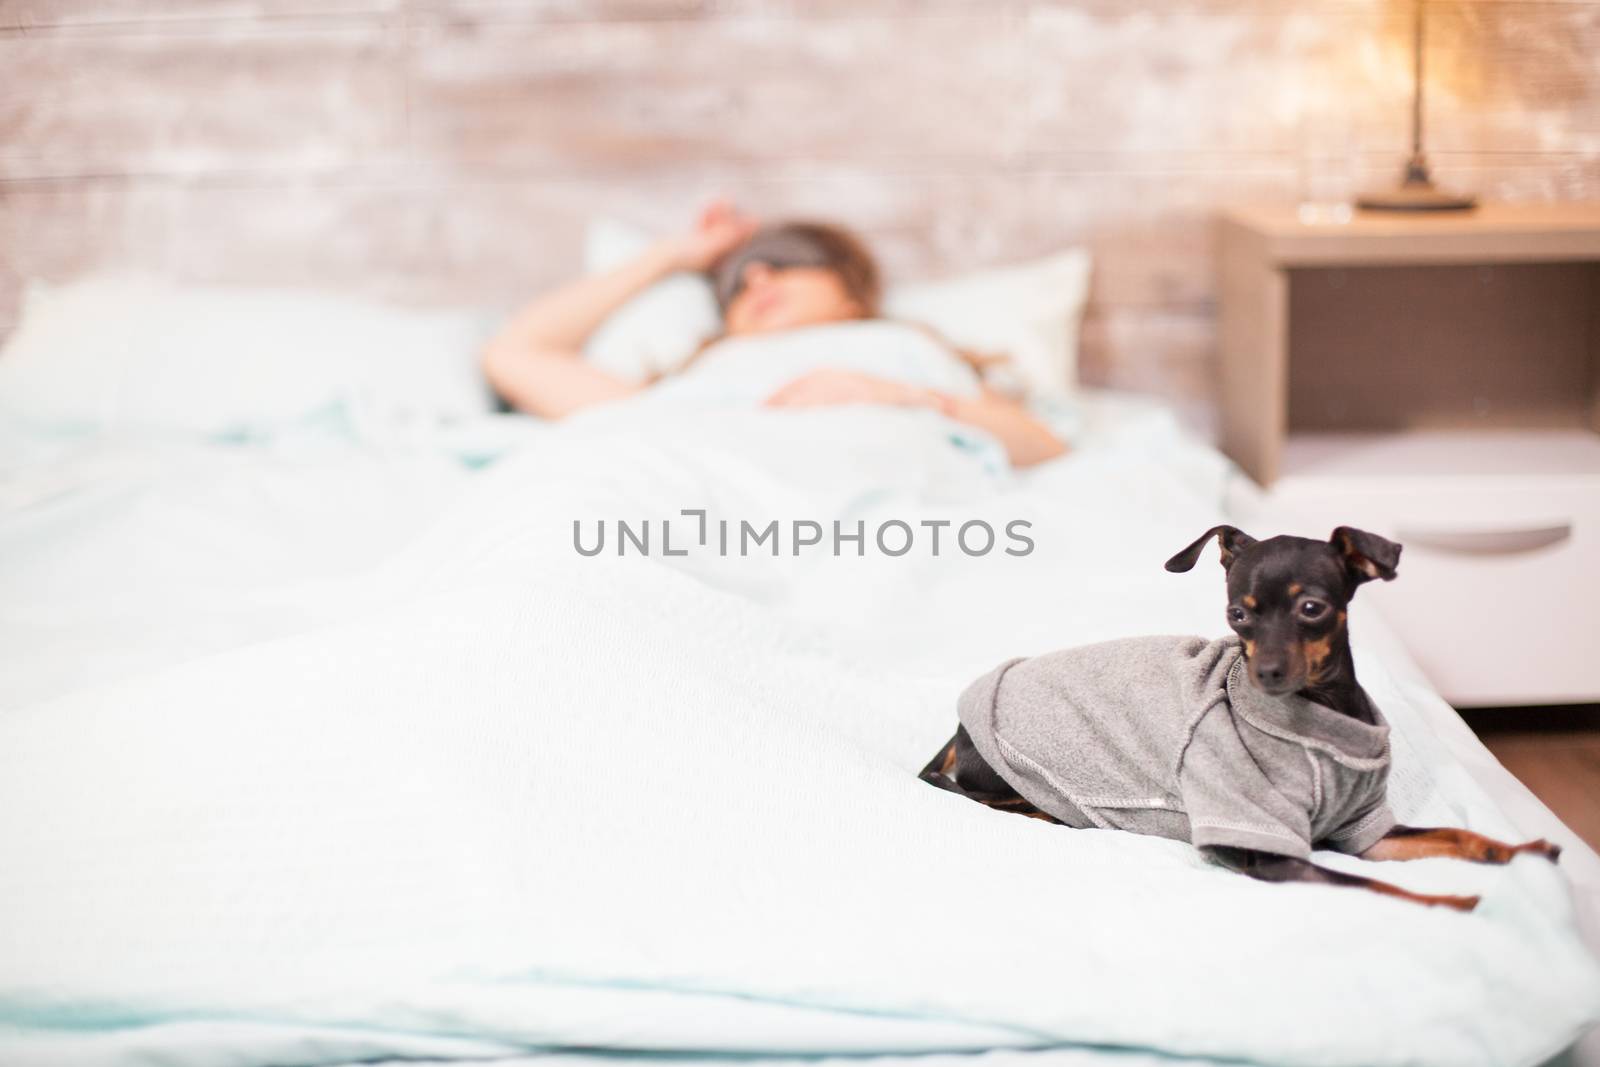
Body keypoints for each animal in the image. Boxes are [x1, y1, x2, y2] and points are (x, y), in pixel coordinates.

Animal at [928, 524, 1561, 908]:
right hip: (1014, 781)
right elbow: (1373, 886)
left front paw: (1521, 851)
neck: (1322, 720)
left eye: (1313, 609)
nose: (1268, 674)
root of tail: (959, 728)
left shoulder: (1365, 832)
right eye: (1238, 614)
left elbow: (1455, 834)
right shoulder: (1267, 851)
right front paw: (1449, 901)